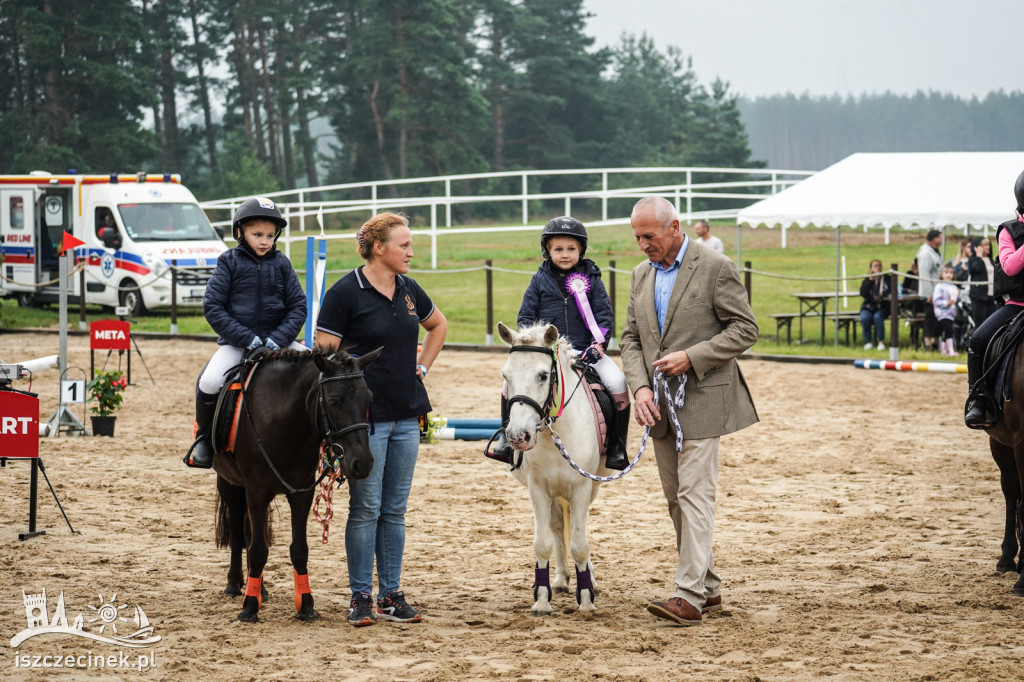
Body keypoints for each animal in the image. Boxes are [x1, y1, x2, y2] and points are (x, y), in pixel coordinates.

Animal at [207, 348, 380, 618]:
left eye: (368, 400)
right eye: (335, 401)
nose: (362, 463)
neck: (284, 420)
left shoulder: (302, 493)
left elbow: (299, 549)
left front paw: (306, 605)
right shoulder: (257, 491)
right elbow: (257, 549)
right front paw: (249, 608)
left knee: (248, 530)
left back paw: (261, 589)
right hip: (230, 483)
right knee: (237, 529)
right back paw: (235, 584)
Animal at [495, 321, 606, 614]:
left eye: (543, 375)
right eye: (506, 375)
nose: (518, 436)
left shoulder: (581, 488)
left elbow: (580, 545)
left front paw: (586, 601)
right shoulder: (538, 490)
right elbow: (543, 544)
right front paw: (542, 601)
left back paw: (589, 579)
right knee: (557, 527)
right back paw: (560, 579)